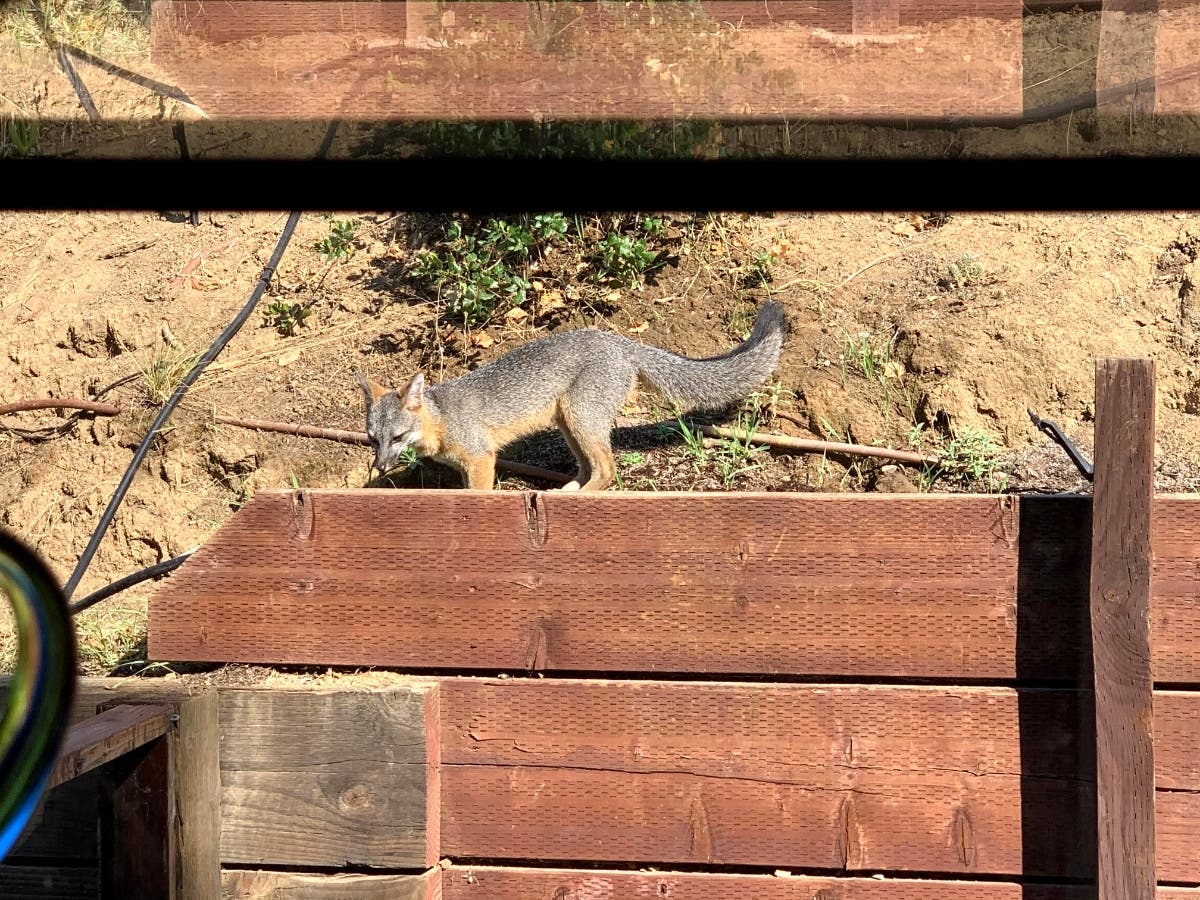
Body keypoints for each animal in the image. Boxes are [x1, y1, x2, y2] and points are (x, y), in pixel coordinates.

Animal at [357, 300, 787, 491]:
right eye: (374, 439)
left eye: (398, 437)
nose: (380, 467)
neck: (442, 418)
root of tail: (618, 341)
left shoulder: (481, 458)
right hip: (570, 422)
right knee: (588, 468)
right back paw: (568, 490)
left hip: (581, 418)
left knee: (608, 471)